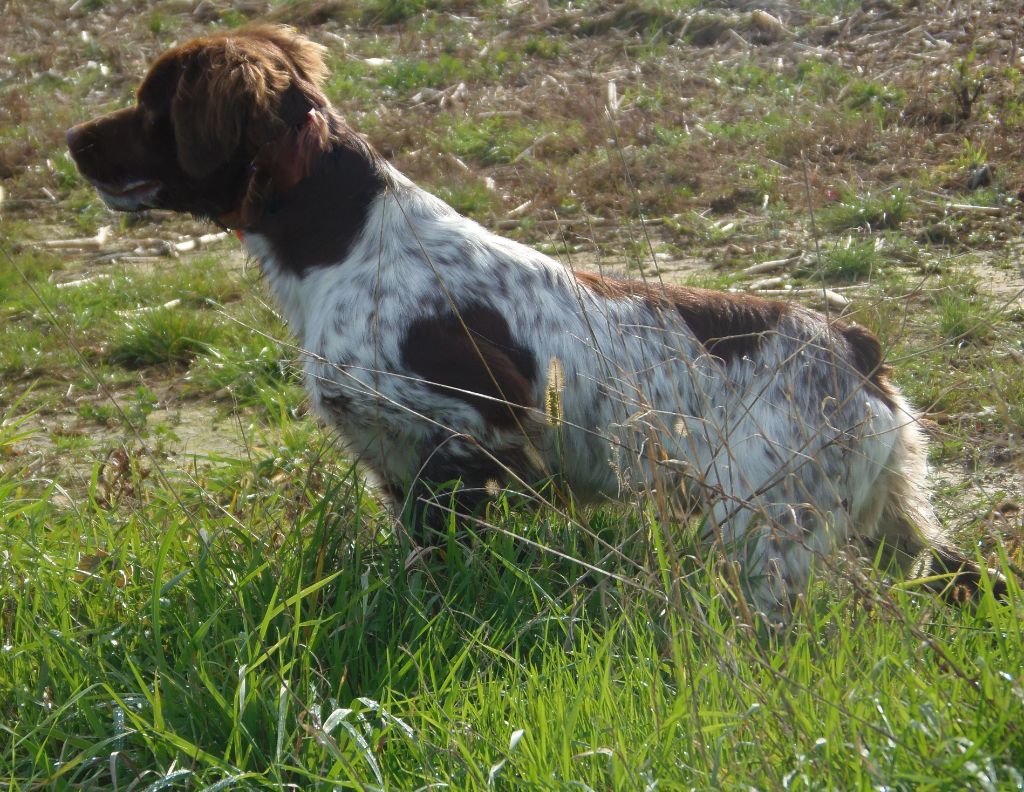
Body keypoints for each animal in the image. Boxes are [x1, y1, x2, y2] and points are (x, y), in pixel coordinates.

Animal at [66, 24, 1007, 614]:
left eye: (152, 106)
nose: (72, 139)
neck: (343, 239)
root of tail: (853, 346)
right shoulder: (394, 460)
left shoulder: (460, 434)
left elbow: (442, 569)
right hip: (890, 519)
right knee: (966, 577)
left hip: (767, 531)